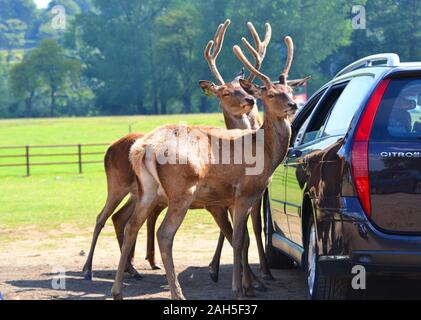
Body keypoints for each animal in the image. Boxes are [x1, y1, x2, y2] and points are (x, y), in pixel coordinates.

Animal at [82, 18, 272, 282]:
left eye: (245, 88)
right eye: (225, 92)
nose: (250, 100)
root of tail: (108, 148)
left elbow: (246, 230)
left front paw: (255, 273)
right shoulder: (222, 199)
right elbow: (234, 235)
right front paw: (238, 276)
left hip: (139, 193)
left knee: (120, 219)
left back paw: (131, 269)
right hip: (117, 184)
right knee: (102, 217)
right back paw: (88, 269)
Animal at [110, 35, 308, 300]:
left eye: (290, 90)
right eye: (271, 94)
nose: (293, 106)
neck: (263, 153)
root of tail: (145, 148)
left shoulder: (226, 200)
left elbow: (240, 238)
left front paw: (247, 285)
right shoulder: (244, 193)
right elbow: (239, 240)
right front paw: (239, 289)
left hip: (147, 191)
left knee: (132, 226)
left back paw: (118, 291)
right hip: (182, 190)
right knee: (164, 234)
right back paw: (177, 293)